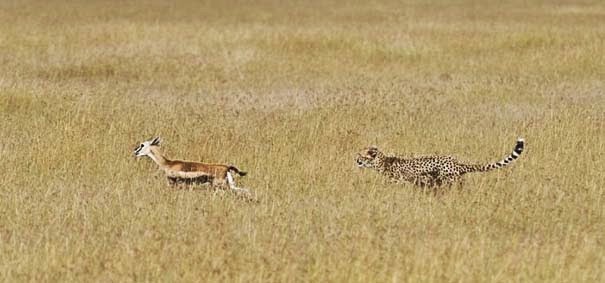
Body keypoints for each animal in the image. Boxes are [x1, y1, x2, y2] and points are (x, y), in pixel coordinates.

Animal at [354, 138, 524, 187]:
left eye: (361, 155)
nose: (356, 160)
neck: (382, 161)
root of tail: (456, 162)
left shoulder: (401, 181)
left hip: (446, 181)